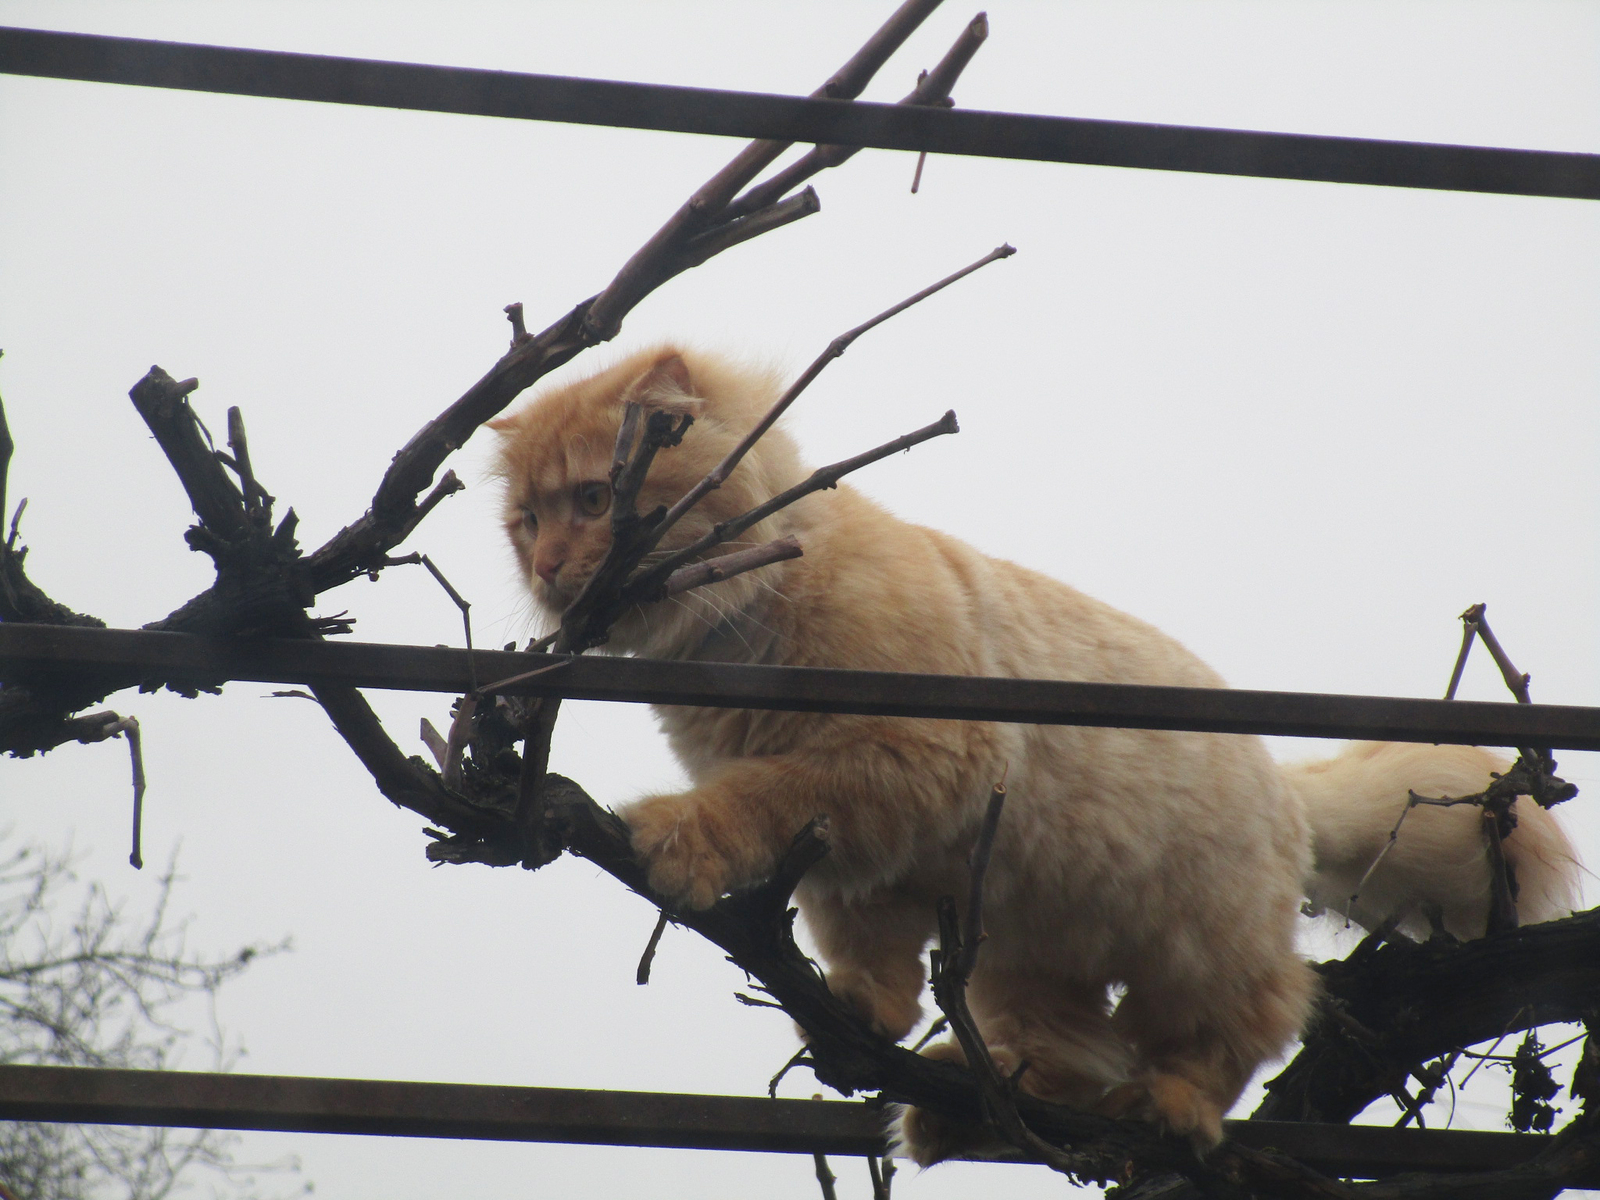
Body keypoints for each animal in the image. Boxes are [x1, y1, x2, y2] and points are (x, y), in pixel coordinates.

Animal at [483, 345, 1574, 1164]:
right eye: (525, 523)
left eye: (594, 499)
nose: (549, 567)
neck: (726, 651)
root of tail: (1282, 783)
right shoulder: (858, 855)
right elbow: (861, 941)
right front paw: (859, 1012)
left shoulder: (898, 755)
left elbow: (755, 801)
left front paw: (677, 841)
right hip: (1021, 948)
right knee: (1073, 1044)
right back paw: (969, 1105)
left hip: (1201, 946)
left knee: (1244, 1029)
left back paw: (1169, 1106)